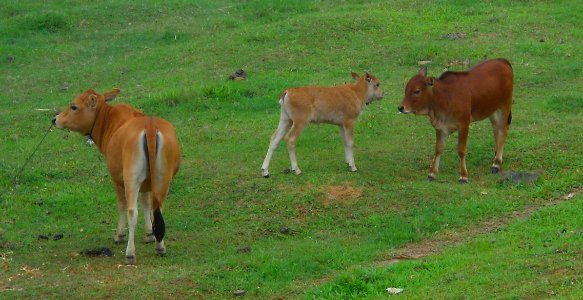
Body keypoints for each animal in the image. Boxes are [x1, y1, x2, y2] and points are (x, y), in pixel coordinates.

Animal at [53, 88, 180, 264]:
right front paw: (149, 234)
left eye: (73, 106)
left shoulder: (117, 181)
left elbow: (121, 205)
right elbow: (146, 204)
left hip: (131, 180)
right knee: (158, 209)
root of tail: (149, 126)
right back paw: (160, 246)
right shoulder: (147, 183)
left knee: (132, 212)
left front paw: (119, 235)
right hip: (163, 179)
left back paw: (130, 253)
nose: (55, 119)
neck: (110, 120)